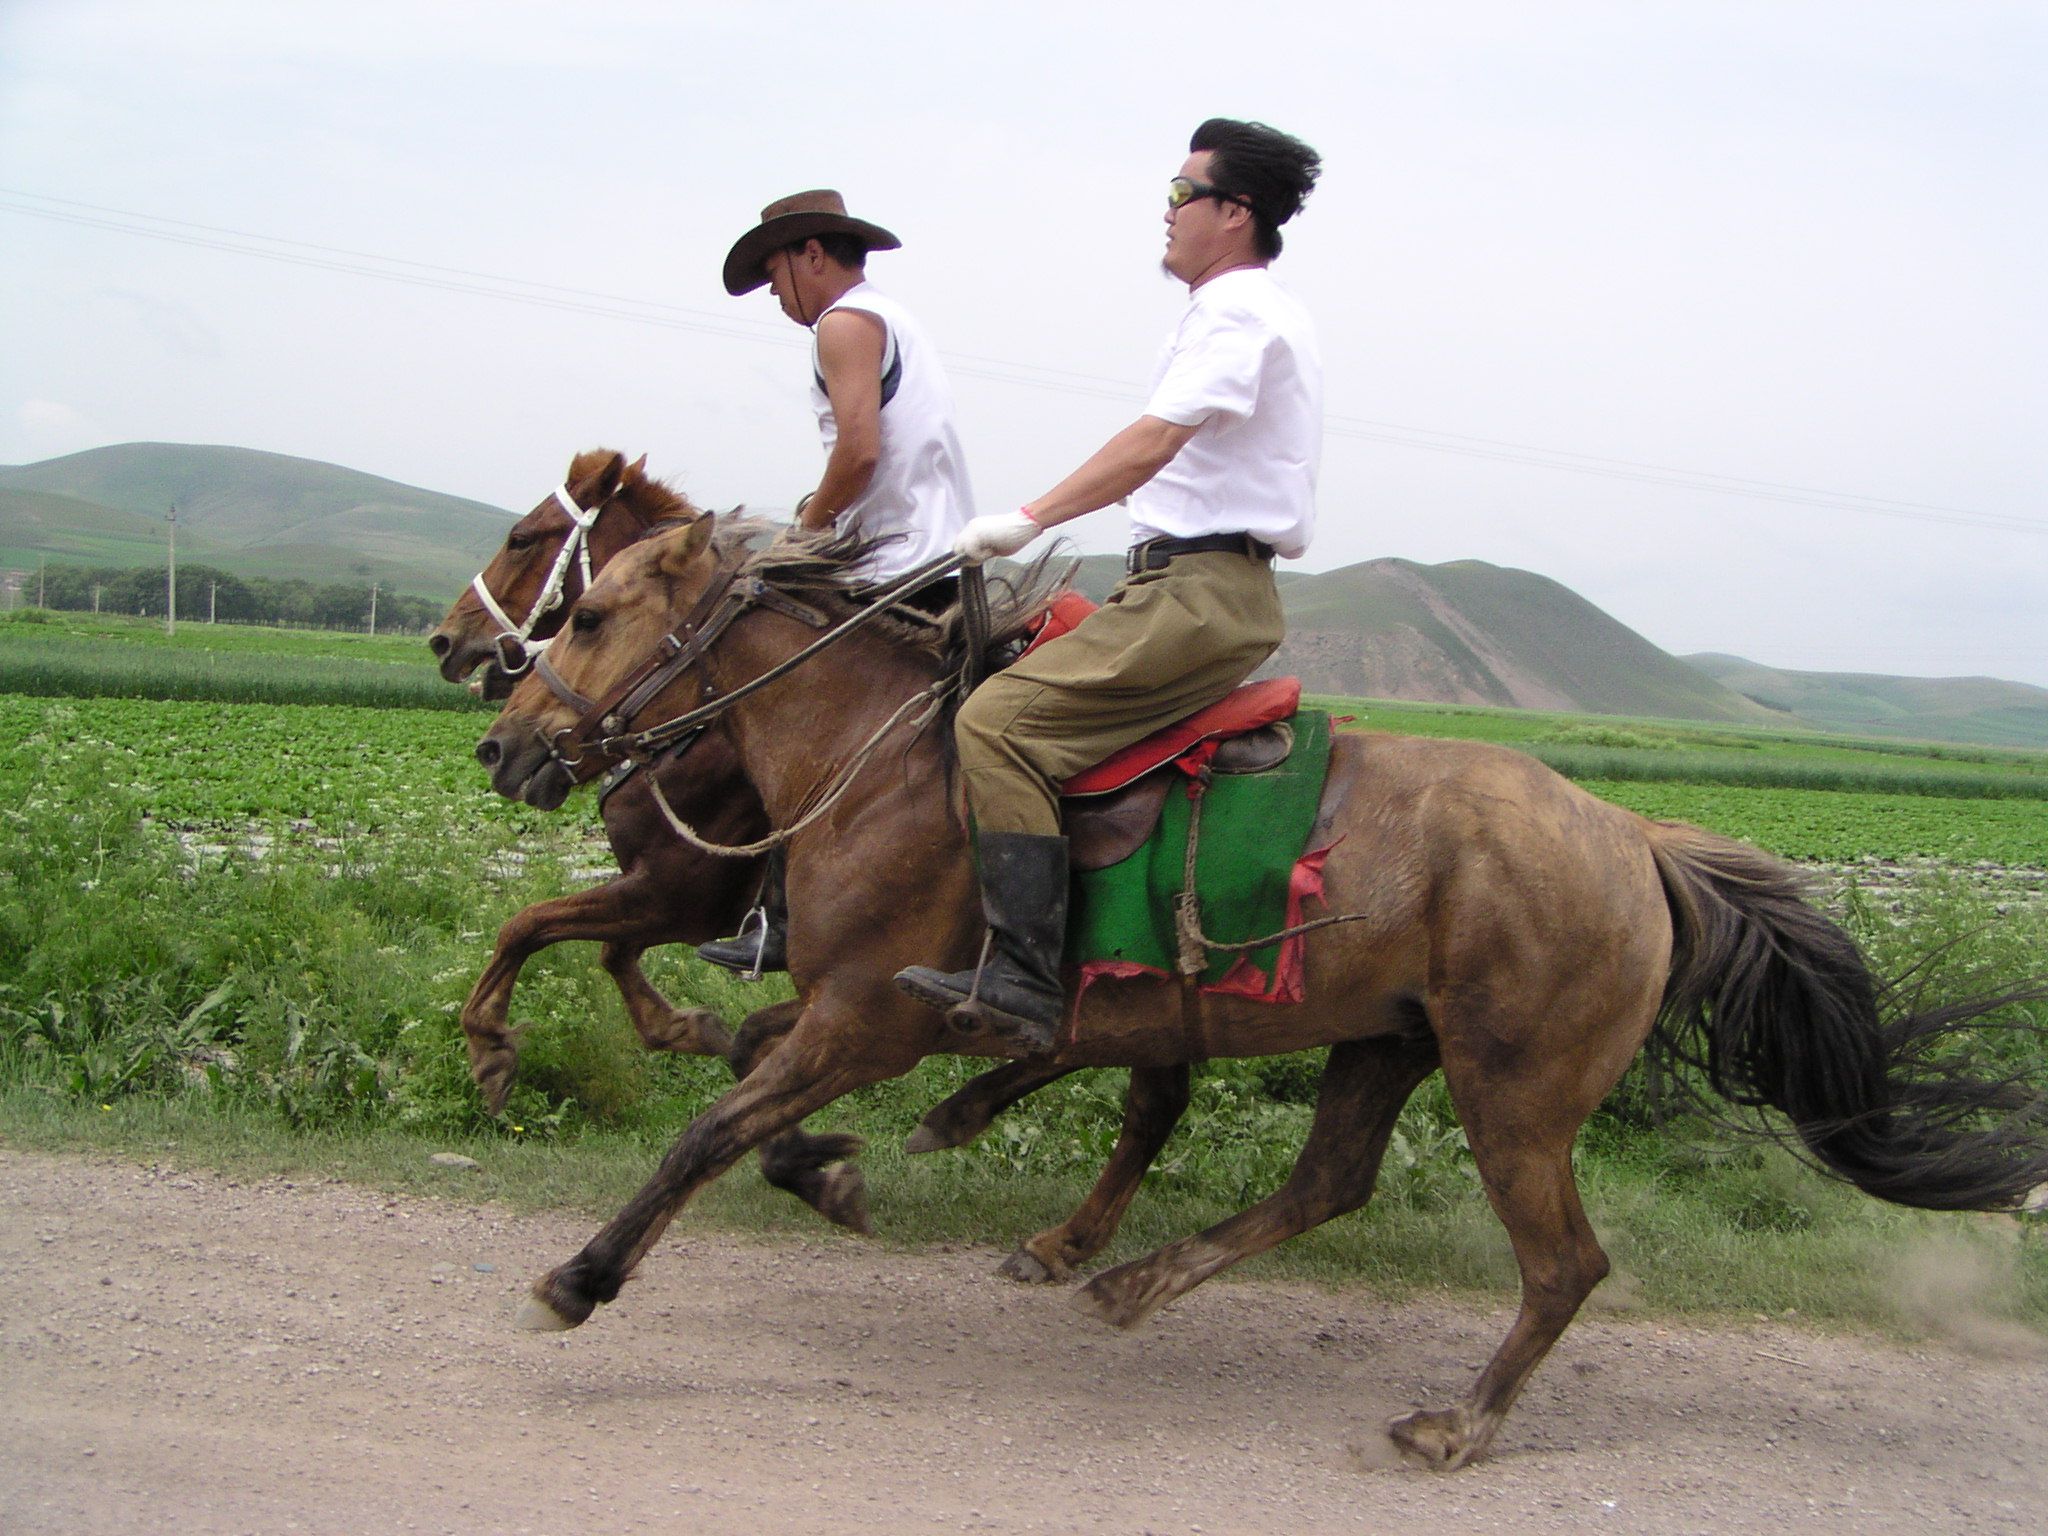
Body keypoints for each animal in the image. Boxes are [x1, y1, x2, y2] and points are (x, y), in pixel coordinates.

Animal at [468, 520, 2048, 1482]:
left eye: (588, 610)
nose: (505, 741)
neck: (886, 757)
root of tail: (1633, 837)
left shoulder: (873, 1017)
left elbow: (710, 1126)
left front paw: (583, 1277)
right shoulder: (848, 1013)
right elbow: (743, 1079)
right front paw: (838, 1169)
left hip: (1512, 1093)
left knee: (1561, 1266)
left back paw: (1454, 1425)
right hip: (1385, 1043)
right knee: (1328, 1181)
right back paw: (1129, 1278)